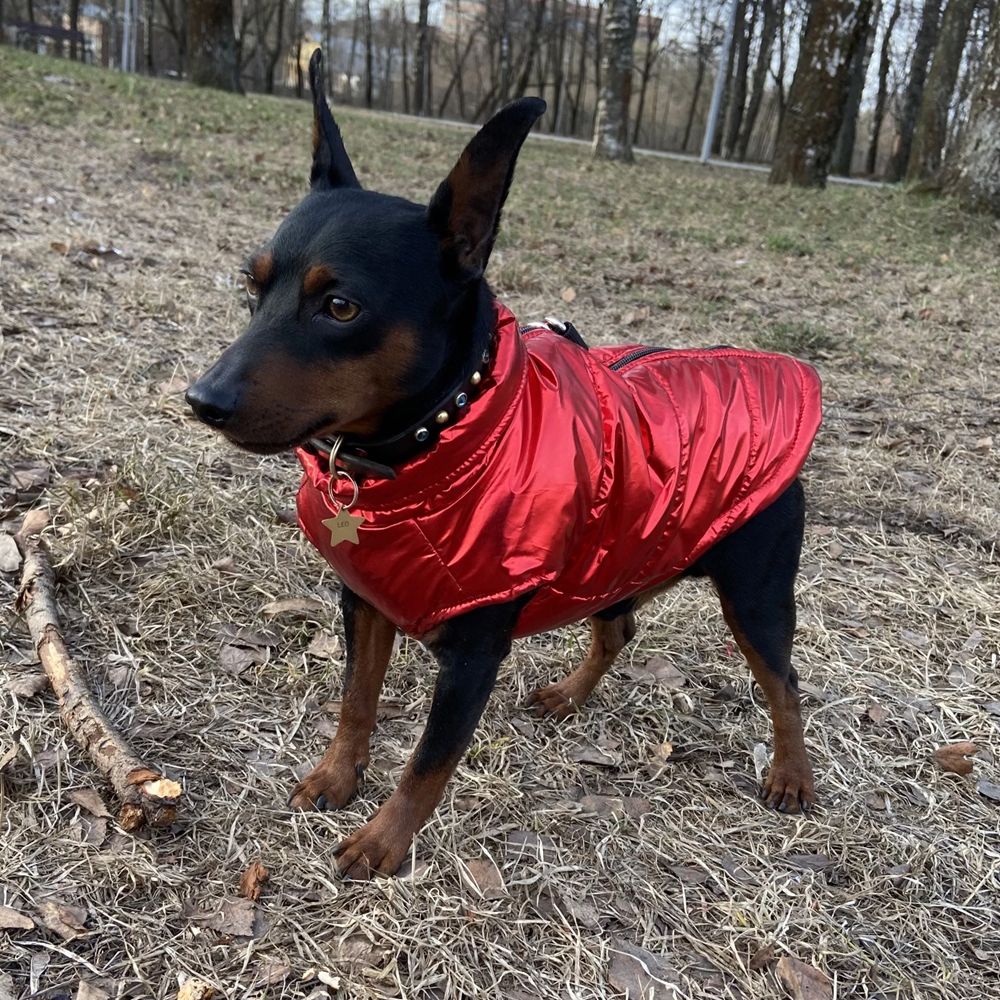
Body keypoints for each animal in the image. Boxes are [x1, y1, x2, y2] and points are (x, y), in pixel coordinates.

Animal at [186, 48, 820, 876]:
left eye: (341, 307)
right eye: (250, 284)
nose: (203, 398)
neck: (428, 444)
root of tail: (774, 369)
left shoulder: (473, 654)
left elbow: (429, 760)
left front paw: (384, 842)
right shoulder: (365, 601)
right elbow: (357, 701)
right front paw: (337, 776)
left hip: (754, 593)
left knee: (785, 682)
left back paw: (791, 774)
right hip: (617, 551)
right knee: (618, 628)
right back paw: (570, 695)